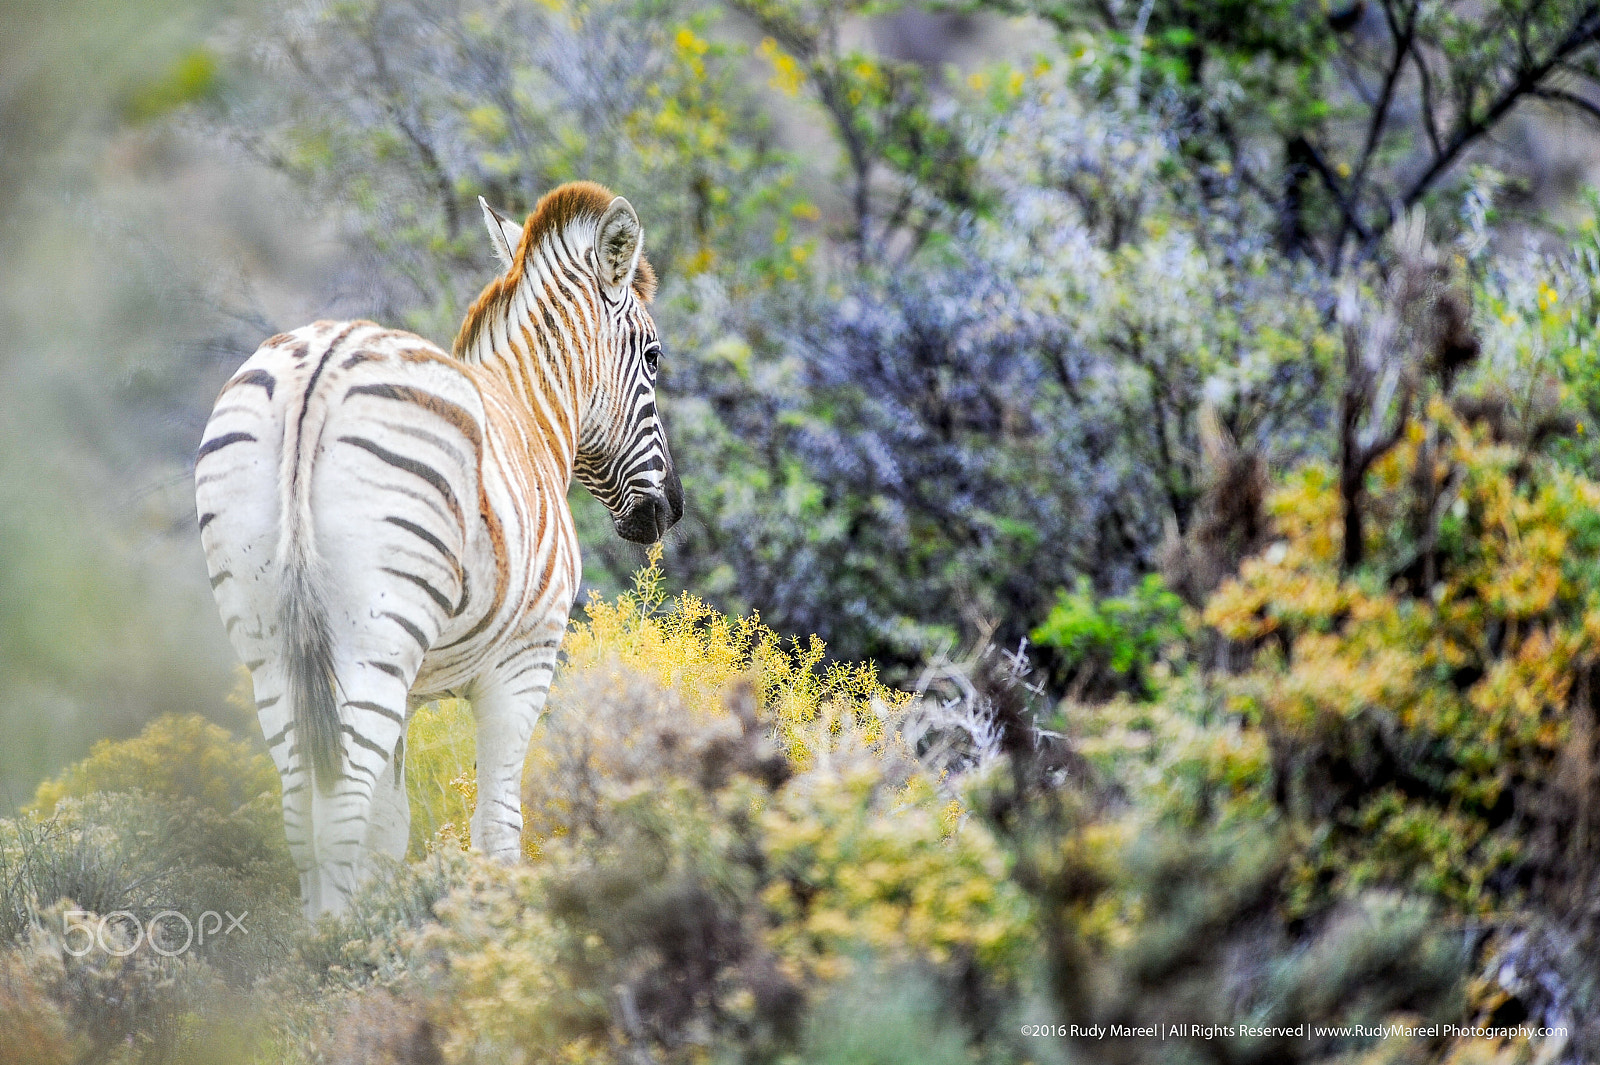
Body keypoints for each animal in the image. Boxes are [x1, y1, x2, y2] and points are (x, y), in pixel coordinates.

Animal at [195, 182, 682, 917]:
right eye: (653, 358)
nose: (668, 511)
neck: (533, 417)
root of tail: (319, 368)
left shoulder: (413, 687)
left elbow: (390, 831)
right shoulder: (527, 659)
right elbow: (499, 824)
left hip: (268, 640)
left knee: (301, 804)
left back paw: (322, 933)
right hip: (375, 635)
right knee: (339, 804)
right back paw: (335, 937)